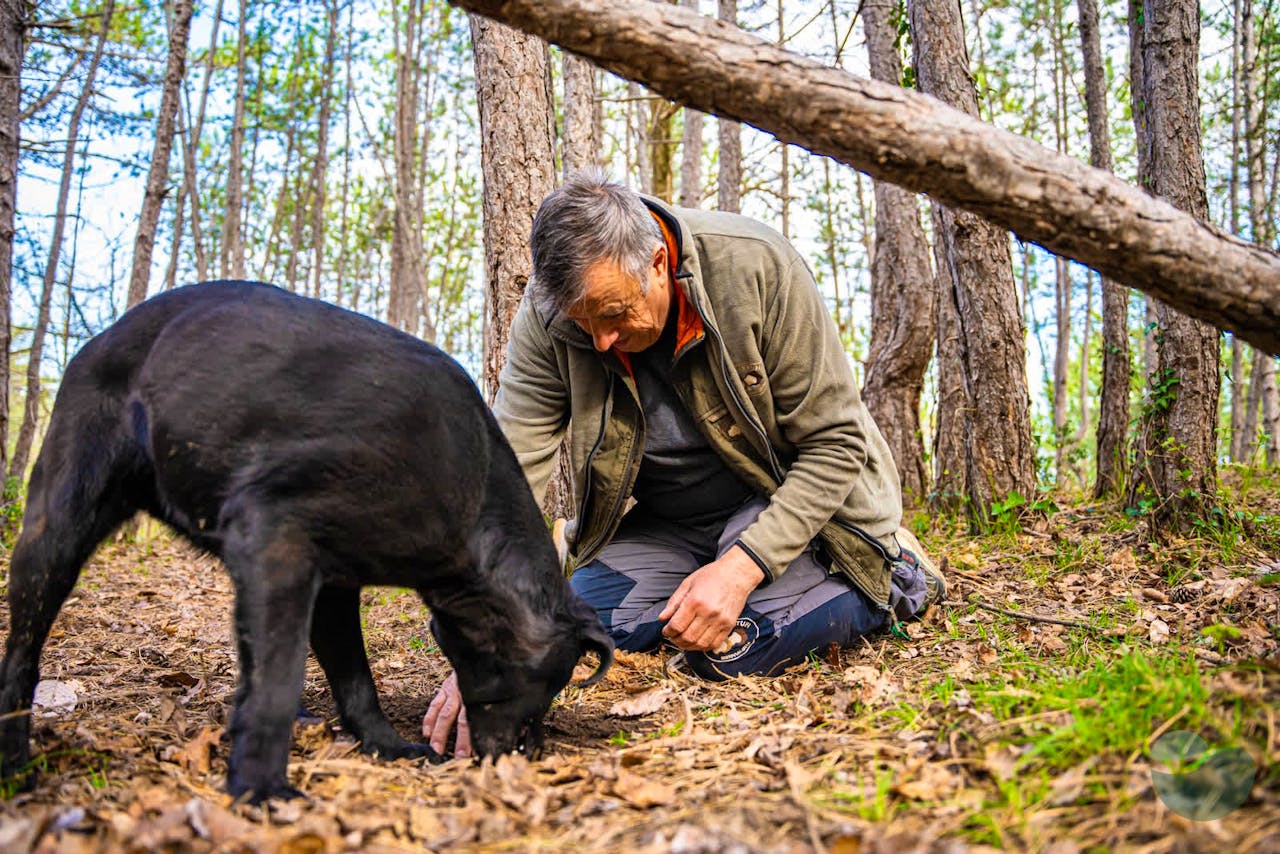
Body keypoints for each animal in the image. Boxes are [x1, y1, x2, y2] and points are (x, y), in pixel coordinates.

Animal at [0, 280, 611, 804]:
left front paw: (384, 747)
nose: (525, 757)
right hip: (57, 526)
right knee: (22, 656)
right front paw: (260, 787)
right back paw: (16, 765)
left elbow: (355, 677)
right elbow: (277, 678)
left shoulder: (335, 585)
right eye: (548, 683)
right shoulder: (274, 540)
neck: (472, 501)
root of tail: (103, 336)